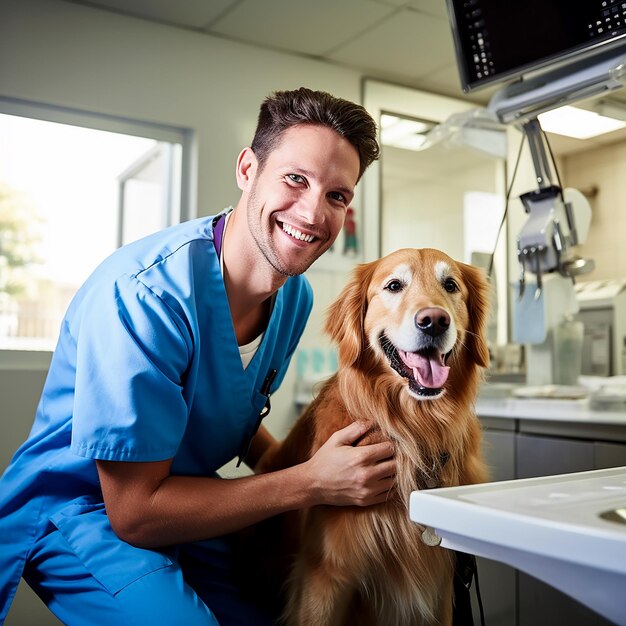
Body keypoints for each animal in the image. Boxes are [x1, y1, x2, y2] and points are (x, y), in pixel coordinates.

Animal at [258, 249, 488, 624]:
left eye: (451, 285)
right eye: (394, 286)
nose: (434, 321)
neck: (413, 432)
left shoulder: (441, 585)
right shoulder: (325, 576)